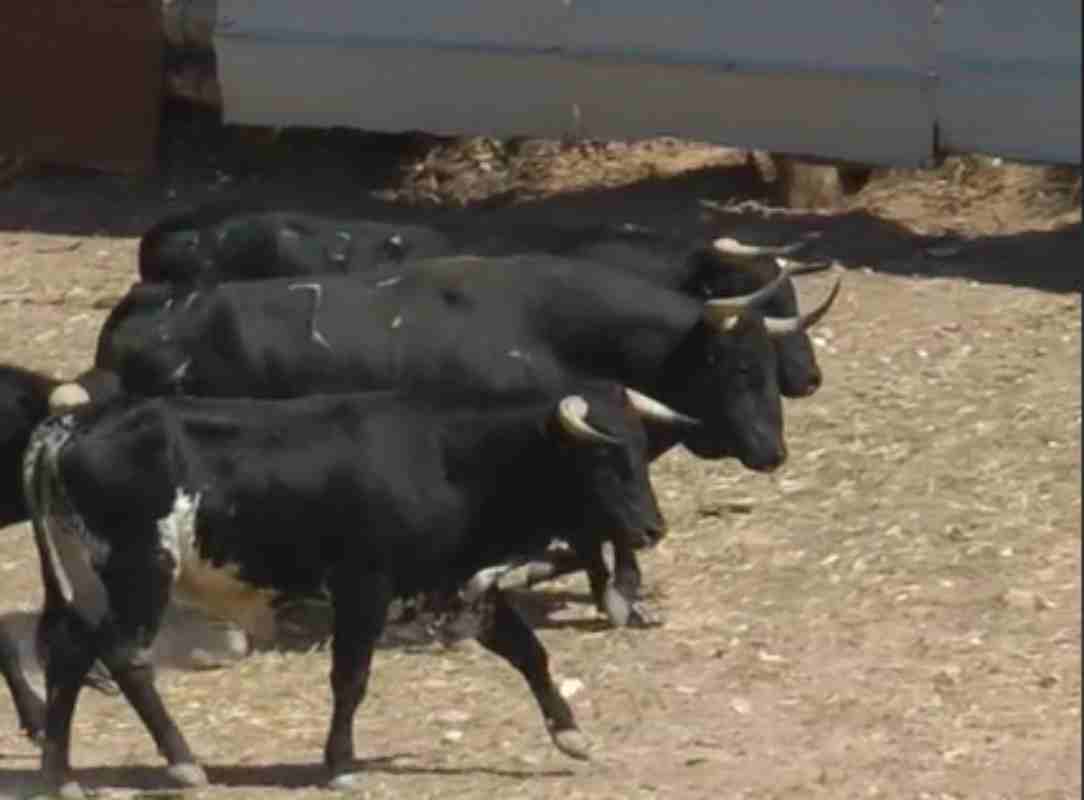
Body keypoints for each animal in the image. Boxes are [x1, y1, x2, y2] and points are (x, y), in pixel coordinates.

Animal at [23, 379, 667, 793]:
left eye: (642, 450)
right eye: (603, 460)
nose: (653, 528)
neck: (448, 459)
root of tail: (74, 424)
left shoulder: (458, 584)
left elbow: (528, 651)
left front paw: (570, 734)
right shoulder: (364, 590)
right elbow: (350, 679)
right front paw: (341, 764)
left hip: (91, 582)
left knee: (71, 654)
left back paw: (59, 774)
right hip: (141, 573)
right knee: (126, 657)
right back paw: (182, 763)